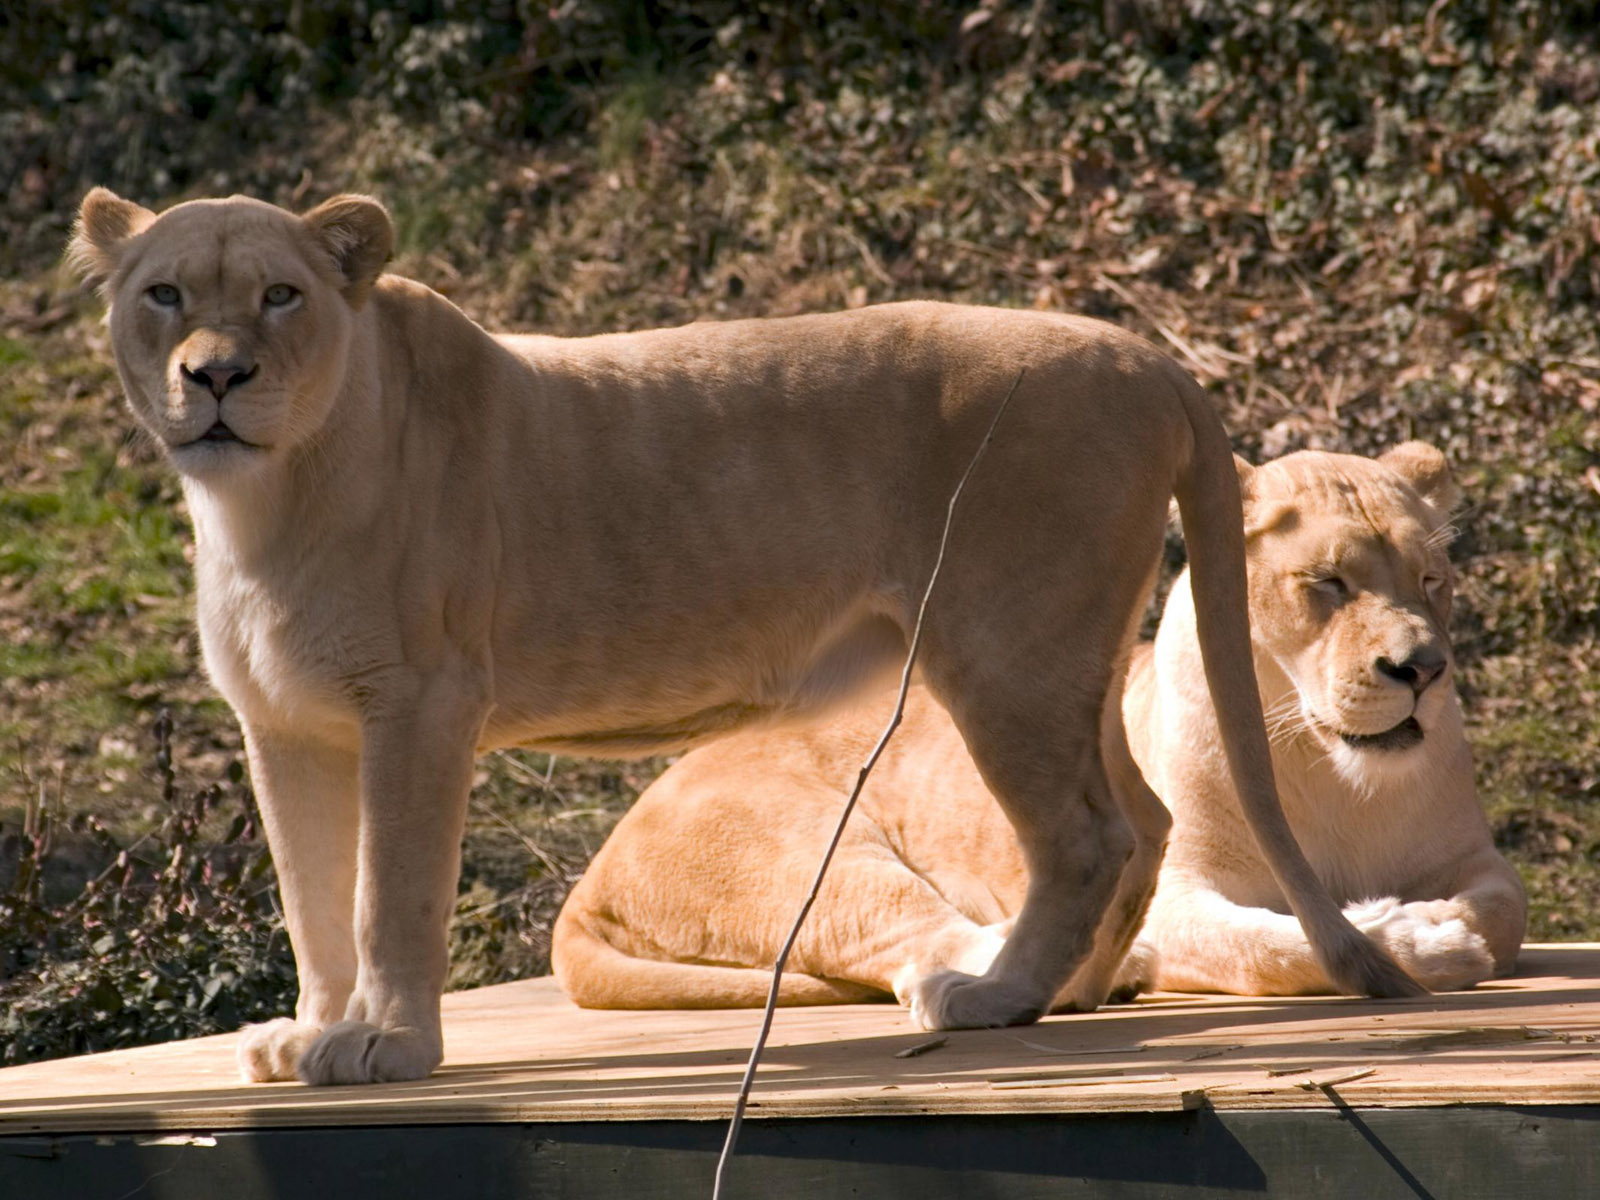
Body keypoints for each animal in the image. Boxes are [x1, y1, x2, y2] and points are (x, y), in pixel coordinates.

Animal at [69, 188, 1418, 1086]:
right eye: (164, 294)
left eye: (281, 295)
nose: (217, 375)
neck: (264, 502)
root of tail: (1139, 350)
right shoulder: (289, 726)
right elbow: (310, 895)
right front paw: (312, 1029)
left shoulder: (419, 703)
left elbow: (386, 892)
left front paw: (388, 1046)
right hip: (1061, 654)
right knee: (1137, 820)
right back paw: (1069, 995)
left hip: (1001, 646)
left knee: (1085, 834)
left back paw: (989, 997)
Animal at [553, 445, 1525, 1007]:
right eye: (1326, 583)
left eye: (1432, 580)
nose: (1422, 671)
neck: (1334, 771)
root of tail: (596, 863)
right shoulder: (1182, 891)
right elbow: (1269, 944)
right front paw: (1420, 940)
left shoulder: (1475, 859)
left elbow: (1503, 909)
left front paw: (1440, 918)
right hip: (812, 854)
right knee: (915, 948)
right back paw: (1103, 968)